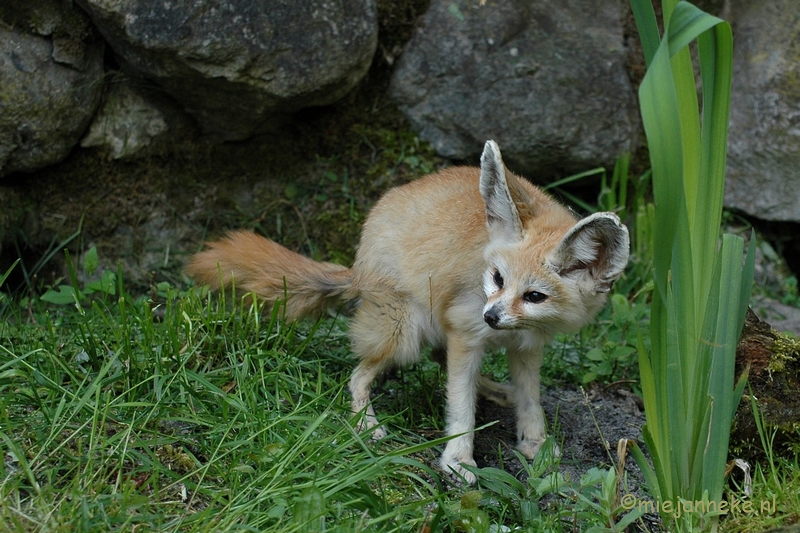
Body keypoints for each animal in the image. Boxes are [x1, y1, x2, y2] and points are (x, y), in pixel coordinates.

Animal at [188, 139, 632, 480]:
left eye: (535, 296)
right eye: (497, 278)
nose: (490, 317)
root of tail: (358, 264)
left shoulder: (526, 347)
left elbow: (529, 400)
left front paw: (534, 442)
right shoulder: (466, 332)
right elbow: (460, 409)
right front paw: (458, 460)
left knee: (439, 359)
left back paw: (491, 388)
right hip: (405, 332)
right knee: (359, 376)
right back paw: (367, 424)